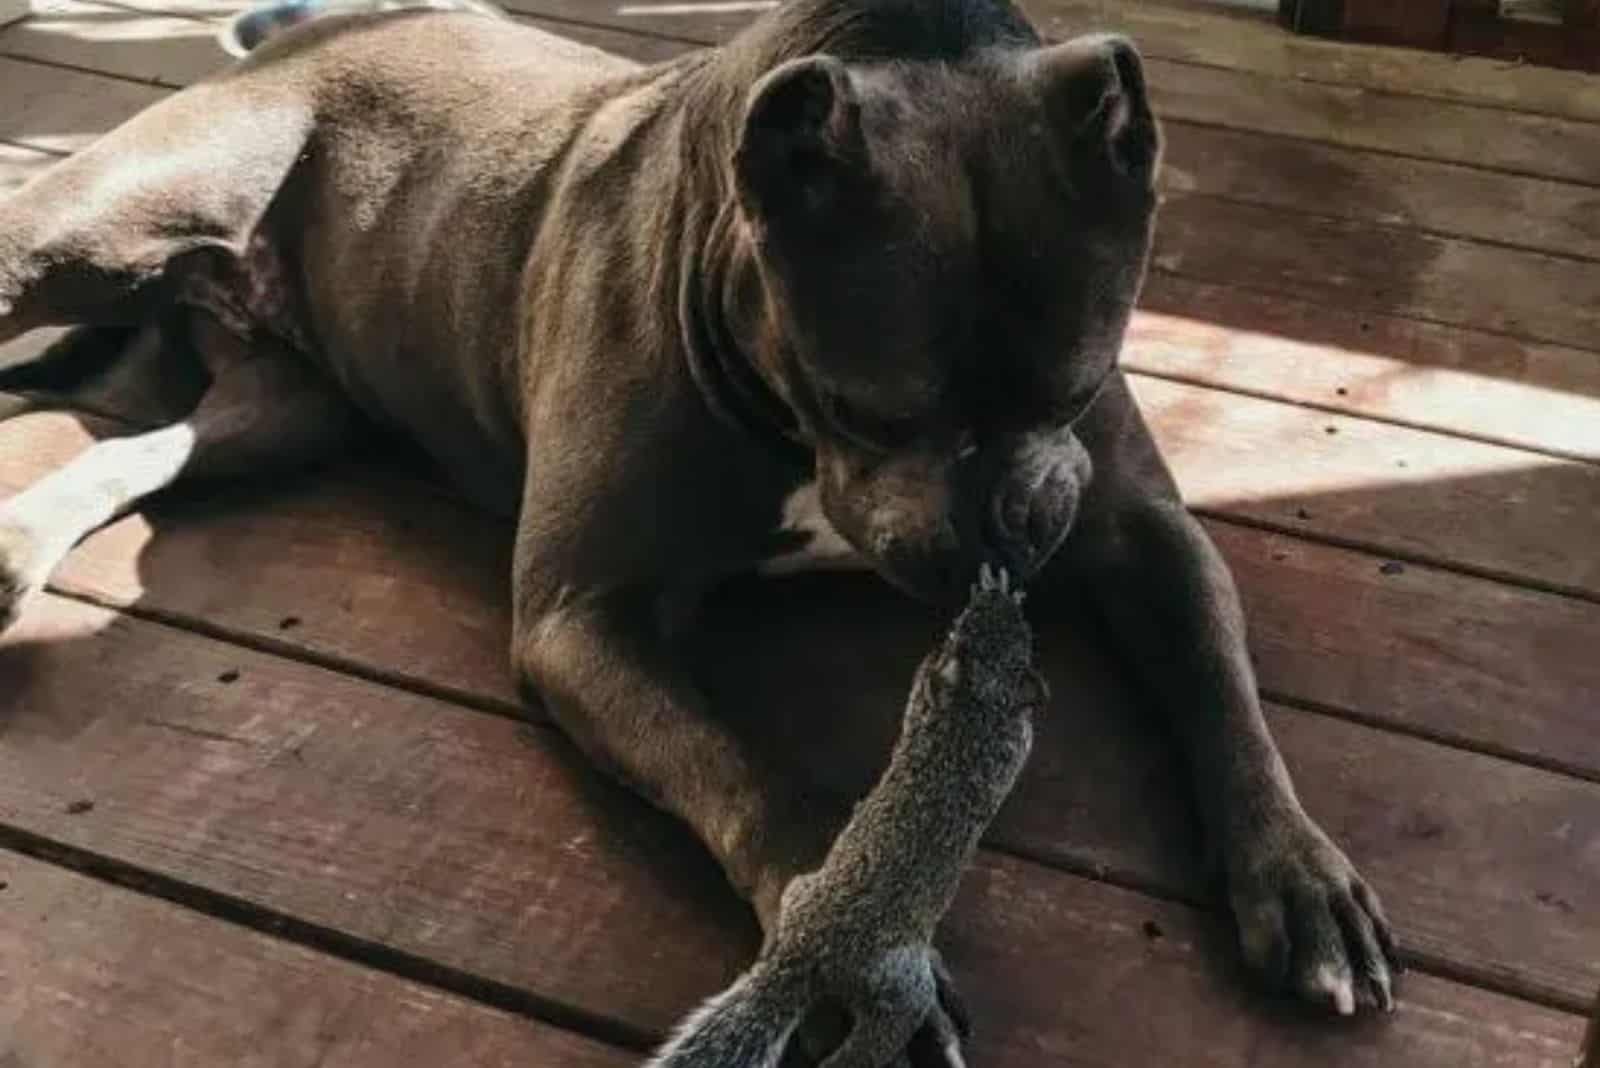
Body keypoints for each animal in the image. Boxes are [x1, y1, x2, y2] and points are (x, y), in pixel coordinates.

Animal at [649, 562, 1049, 1061]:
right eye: (1024, 640)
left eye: (1012, 635)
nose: (982, 600)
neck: (968, 710)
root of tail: (806, 952)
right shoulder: (1008, 743)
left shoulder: (930, 702)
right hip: (894, 983)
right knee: (884, 1030)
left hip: (798, 891)